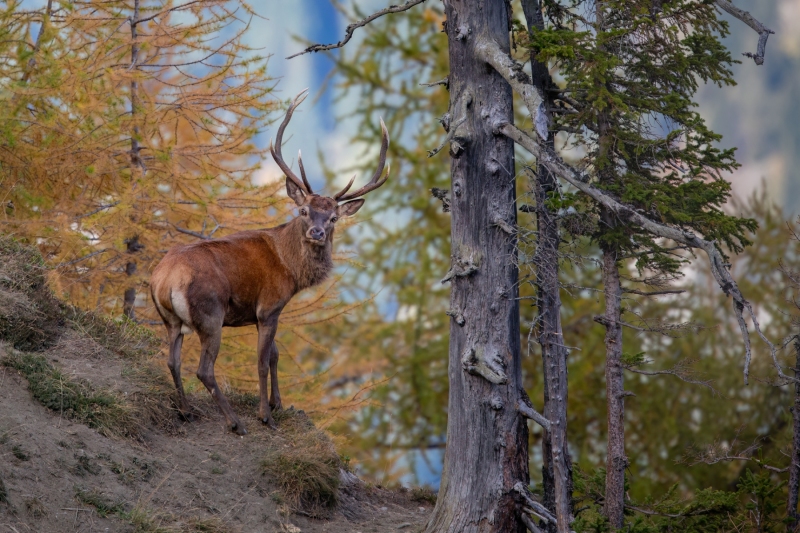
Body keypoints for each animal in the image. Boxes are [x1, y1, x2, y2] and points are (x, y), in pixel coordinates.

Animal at [150, 89, 389, 434]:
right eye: (304, 211)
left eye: (333, 218)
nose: (317, 232)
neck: (290, 270)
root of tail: (164, 280)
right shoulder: (269, 307)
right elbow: (263, 361)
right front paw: (266, 414)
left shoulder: (263, 313)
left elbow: (275, 354)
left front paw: (278, 403)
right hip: (210, 314)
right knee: (204, 369)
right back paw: (234, 422)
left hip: (171, 321)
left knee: (172, 360)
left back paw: (185, 411)